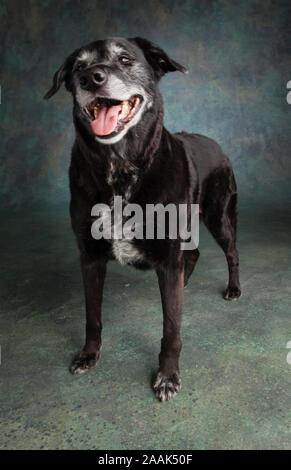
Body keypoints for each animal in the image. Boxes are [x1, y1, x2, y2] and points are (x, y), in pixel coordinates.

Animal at [45, 38, 242, 402]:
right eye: (78, 66)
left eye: (125, 59)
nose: (91, 78)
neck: (120, 168)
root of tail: (215, 142)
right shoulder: (89, 257)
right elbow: (92, 315)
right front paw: (89, 354)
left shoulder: (167, 254)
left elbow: (171, 328)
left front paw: (167, 376)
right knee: (192, 254)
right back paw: (185, 282)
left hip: (219, 215)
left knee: (232, 253)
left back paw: (234, 289)